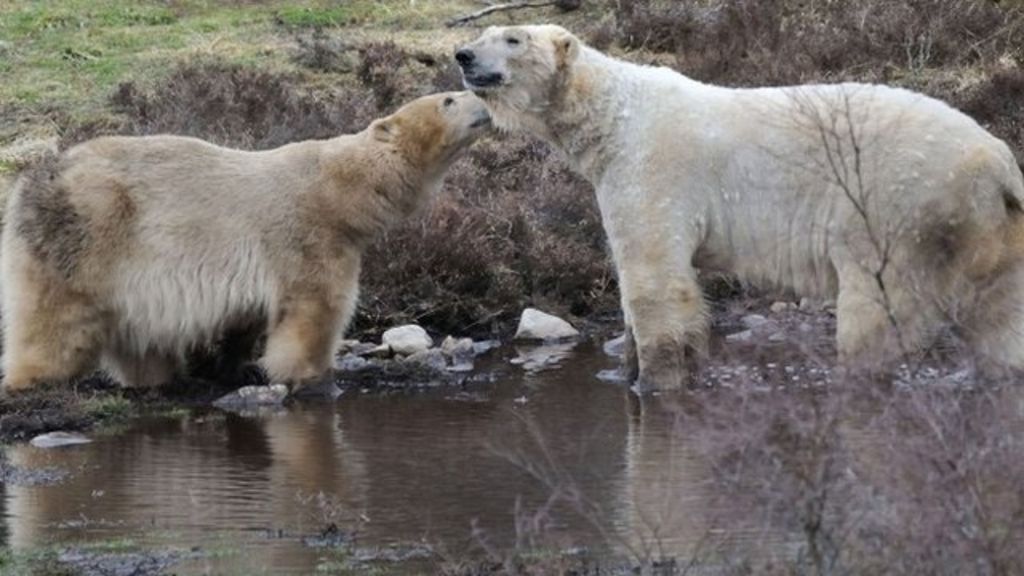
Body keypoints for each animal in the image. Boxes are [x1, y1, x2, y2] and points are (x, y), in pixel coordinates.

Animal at [1, 91, 491, 394]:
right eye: (448, 99)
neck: (339, 188)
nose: (483, 101)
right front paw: (311, 375)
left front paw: (237, 365)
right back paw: (35, 377)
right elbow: (315, 308)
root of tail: (30, 180)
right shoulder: (308, 236)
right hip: (86, 234)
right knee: (56, 317)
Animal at [456, 25, 1024, 391]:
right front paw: (630, 371)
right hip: (993, 229)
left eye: (513, 39)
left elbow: (656, 277)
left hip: (898, 207)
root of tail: (997, 161)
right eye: (486, 31)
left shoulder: (653, 167)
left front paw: (656, 382)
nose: (463, 55)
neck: (614, 114)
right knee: (1000, 318)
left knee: (876, 312)